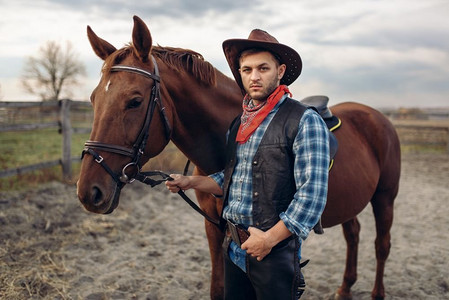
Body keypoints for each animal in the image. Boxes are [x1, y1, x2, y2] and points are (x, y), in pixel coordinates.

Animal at [77, 15, 400, 300]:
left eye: (135, 101)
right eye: (93, 99)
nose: (88, 192)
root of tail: (376, 116)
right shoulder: (214, 227)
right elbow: (218, 288)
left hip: (385, 197)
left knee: (382, 245)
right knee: (353, 234)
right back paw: (345, 288)